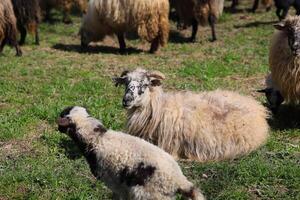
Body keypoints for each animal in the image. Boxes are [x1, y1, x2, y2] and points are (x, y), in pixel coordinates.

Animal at [57, 105, 205, 199]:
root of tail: (179, 181)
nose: (57, 128)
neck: (96, 138)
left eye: (63, 116)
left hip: (148, 194)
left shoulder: (114, 182)